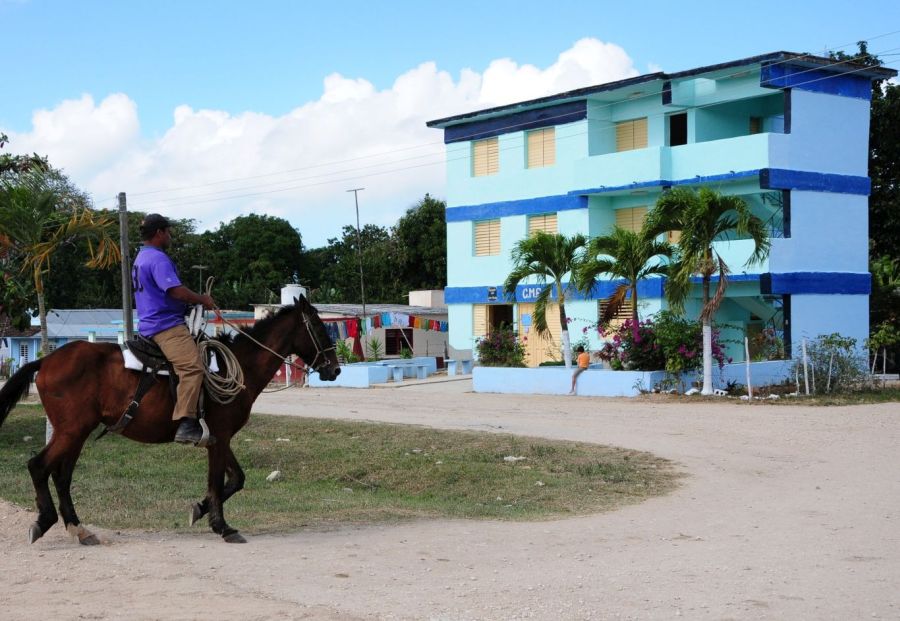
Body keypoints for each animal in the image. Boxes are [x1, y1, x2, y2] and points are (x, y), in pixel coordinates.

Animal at [0, 296, 342, 544]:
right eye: (320, 327)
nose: (335, 369)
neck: (239, 366)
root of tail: (46, 360)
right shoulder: (220, 436)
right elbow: (217, 481)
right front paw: (222, 526)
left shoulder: (218, 437)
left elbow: (236, 479)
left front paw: (199, 509)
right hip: (71, 430)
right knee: (39, 466)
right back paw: (45, 521)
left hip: (76, 432)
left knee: (61, 476)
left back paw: (78, 528)